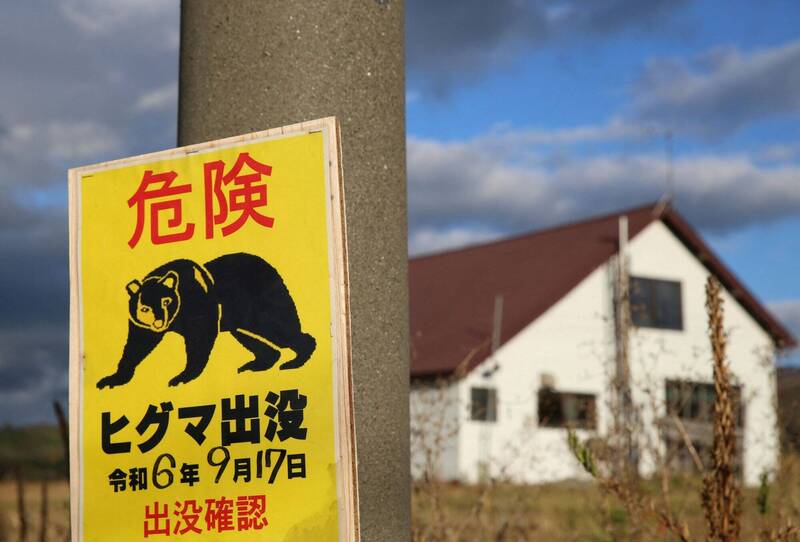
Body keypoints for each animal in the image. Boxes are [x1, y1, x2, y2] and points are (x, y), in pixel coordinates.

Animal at [96, 252, 316, 389]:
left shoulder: (198, 303)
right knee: (251, 337)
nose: (159, 323)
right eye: (144, 308)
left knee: (278, 328)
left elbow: (199, 337)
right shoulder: (142, 324)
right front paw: (112, 379)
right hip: (240, 317)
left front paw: (181, 376)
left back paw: (297, 359)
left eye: (167, 301)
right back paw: (256, 364)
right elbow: (137, 344)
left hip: (260, 303)